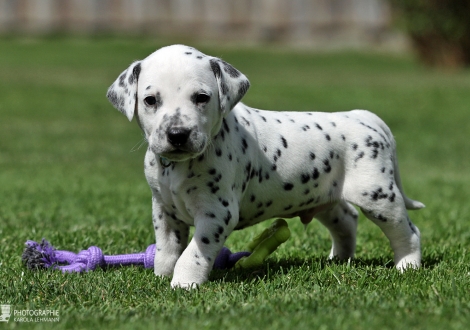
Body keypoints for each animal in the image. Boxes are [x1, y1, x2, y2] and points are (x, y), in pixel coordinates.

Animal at [106, 44, 422, 288]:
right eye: (150, 100)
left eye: (201, 98)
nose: (177, 134)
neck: (178, 167)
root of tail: (364, 116)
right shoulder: (164, 210)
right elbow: (167, 249)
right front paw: (162, 276)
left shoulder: (216, 214)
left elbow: (193, 252)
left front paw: (184, 283)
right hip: (325, 196)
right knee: (346, 220)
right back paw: (339, 259)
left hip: (378, 196)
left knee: (407, 231)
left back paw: (407, 265)